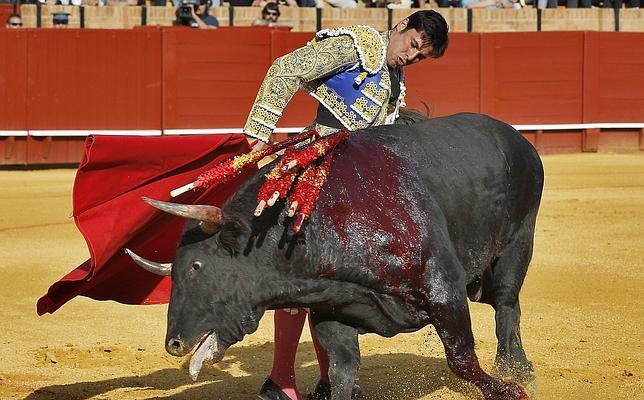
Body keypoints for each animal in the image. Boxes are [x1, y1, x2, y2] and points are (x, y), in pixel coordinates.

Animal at [127, 113, 544, 400]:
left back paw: (517, 369)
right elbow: (343, 371)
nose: (173, 344)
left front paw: (509, 390)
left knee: (507, 306)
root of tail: (515, 137)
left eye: (197, 266)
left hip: (518, 243)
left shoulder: (443, 288)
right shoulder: (334, 309)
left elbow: (462, 358)